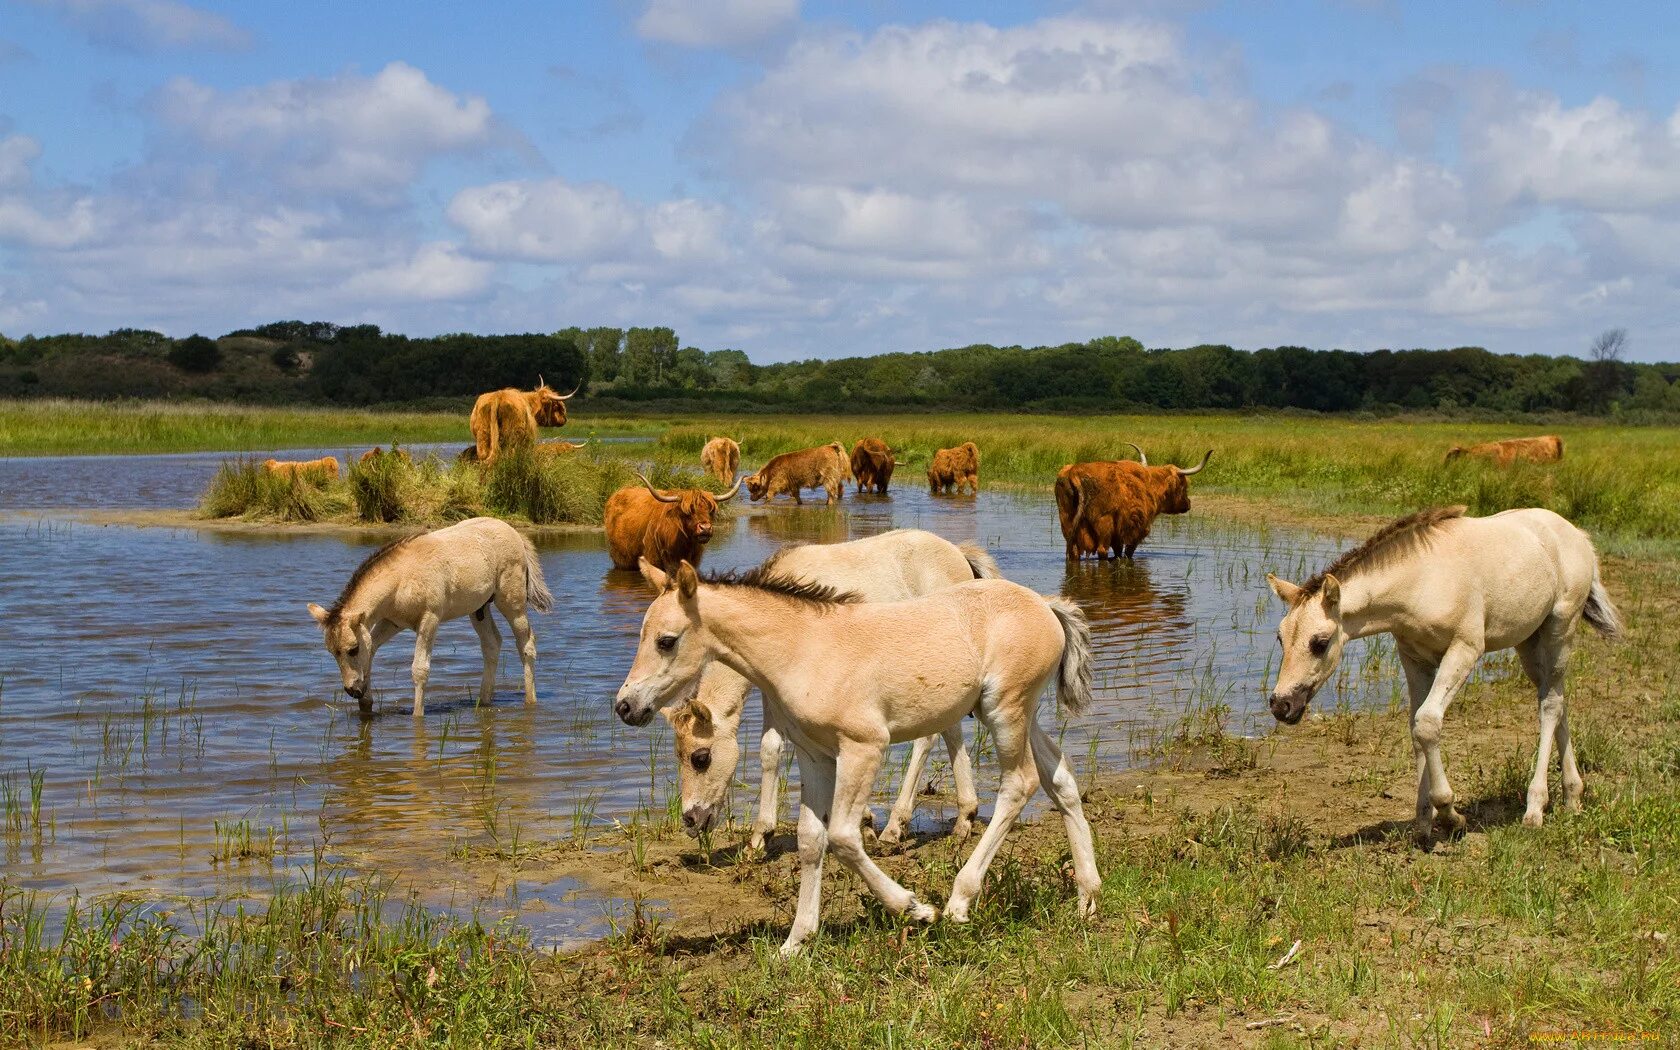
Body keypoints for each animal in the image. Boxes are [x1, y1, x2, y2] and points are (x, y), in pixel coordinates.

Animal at [618, 561, 1102, 954]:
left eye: (666, 641)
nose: (625, 706)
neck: (803, 648)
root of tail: (1045, 605)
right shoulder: (815, 755)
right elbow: (811, 840)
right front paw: (796, 941)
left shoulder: (863, 747)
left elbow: (844, 838)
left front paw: (915, 909)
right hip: (1016, 714)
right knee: (1061, 777)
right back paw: (1088, 898)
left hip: (1006, 710)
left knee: (1019, 784)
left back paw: (958, 902)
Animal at [1055, 446, 1216, 561]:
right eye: (1184, 486)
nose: (1188, 504)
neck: (1151, 485)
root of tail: (1075, 472)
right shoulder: (1139, 528)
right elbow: (1129, 552)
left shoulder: (1119, 533)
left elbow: (1119, 551)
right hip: (1104, 522)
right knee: (1102, 550)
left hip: (1067, 522)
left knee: (1073, 551)